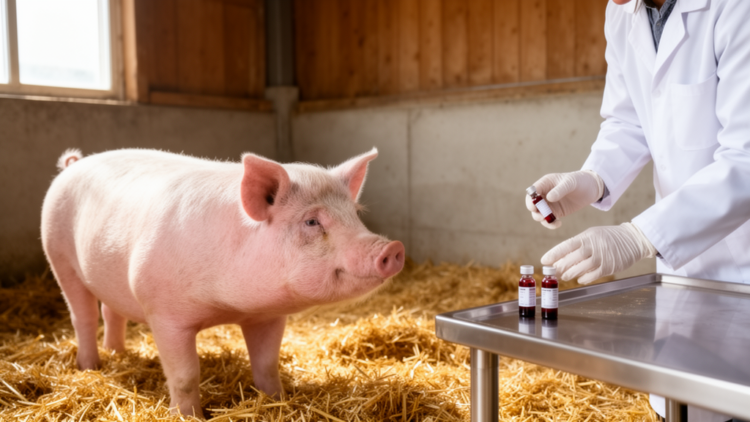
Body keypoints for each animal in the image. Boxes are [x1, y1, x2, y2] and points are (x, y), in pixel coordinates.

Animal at [41, 148, 405, 418]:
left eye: (354, 215)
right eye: (312, 221)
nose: (392, 248)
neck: (227, 306)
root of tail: (73, 165)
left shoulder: (268, 317)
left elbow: (267, 365)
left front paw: (276, 401)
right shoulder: (164, 314)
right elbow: (185, 376)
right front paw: (189, 416)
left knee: (111, 312)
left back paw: (117, 352)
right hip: (58, 255)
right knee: (83, 316)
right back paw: (90, 367)